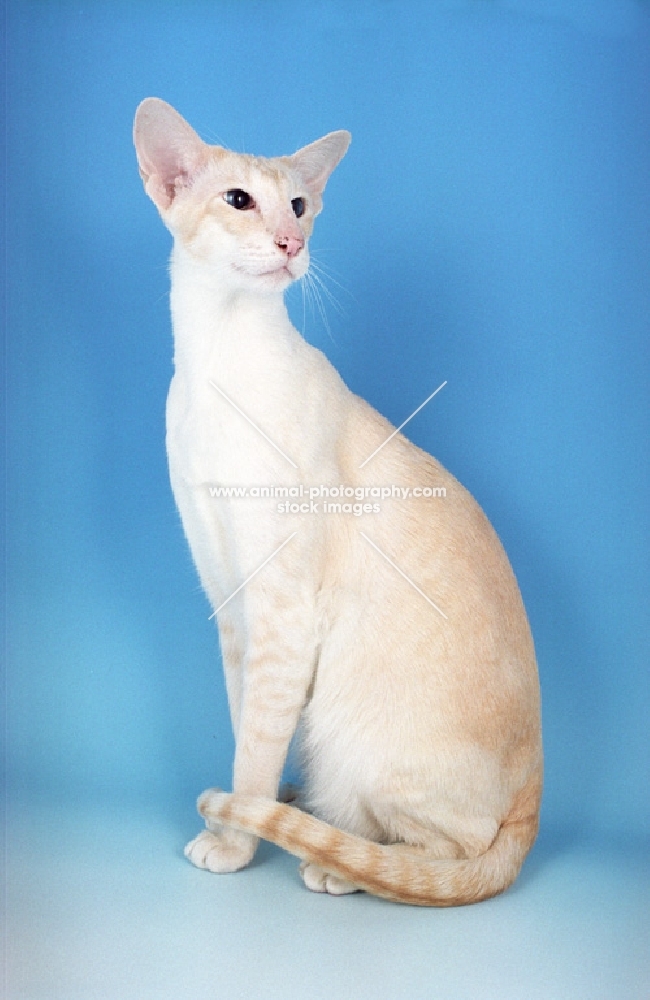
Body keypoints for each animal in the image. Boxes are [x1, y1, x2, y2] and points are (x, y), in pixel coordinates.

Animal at [133, 99, 540, 908]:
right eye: (239, 201)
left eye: (297, 205)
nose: (291, 242)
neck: (215, 364)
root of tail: (532, 806)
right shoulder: (233, 603)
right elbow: (246, 730)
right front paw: (244, 818)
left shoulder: (283, 608)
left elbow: (253, 752)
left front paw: (235, 840)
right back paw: (299, 808)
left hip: (358, 740)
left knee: (439, 854)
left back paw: (334, 860)